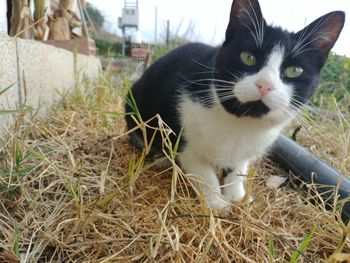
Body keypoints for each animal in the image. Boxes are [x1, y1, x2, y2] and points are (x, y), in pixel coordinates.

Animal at [125, 0, 344, 210]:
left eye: (294, 70)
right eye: (248, 57)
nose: (265, 84)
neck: (241, 120)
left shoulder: (245, 150)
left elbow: (238, 169)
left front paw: (238, 197)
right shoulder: (187, 140)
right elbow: (202, 172)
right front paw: (218, 203)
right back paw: (159, 156)